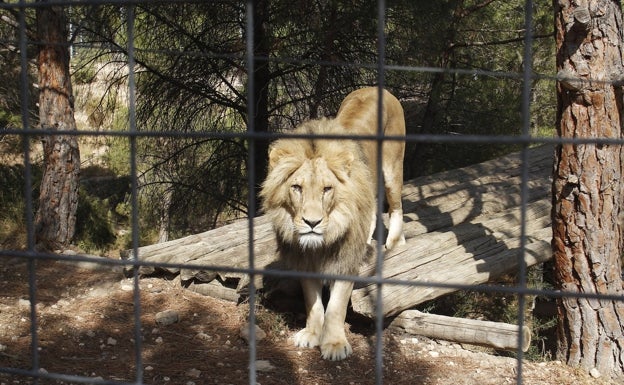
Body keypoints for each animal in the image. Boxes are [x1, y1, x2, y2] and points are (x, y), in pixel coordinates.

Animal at [258, 88, 404, 360]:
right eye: (297, 187)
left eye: (327, 189)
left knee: (397, 204)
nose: (312, 222)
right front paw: (312, 334)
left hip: (393, 167)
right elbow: (313, 302)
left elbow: (336, 306)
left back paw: (395, 242)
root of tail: (378, 89)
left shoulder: (345, 260)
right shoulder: (304, 260)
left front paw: (335, 344)